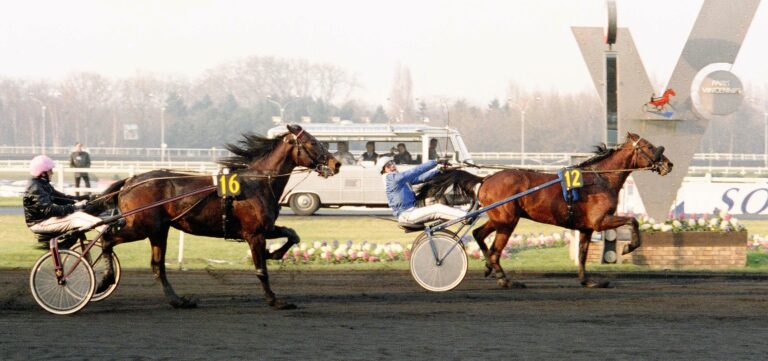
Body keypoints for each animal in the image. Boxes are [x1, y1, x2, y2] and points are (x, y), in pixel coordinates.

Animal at [416, 132, 676, 286]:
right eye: (649, 146)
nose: (669, 164)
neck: (600, 179)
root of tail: (486, 179)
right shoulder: (600, 220)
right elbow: (633, 221)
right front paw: (629, 247)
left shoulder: (586, 228)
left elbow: (582, 254)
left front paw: (587, 281)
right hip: (508, 221)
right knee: (496, 248)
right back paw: (503, 277)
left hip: (501, 218)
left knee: (480, 234)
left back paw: (490, 267)